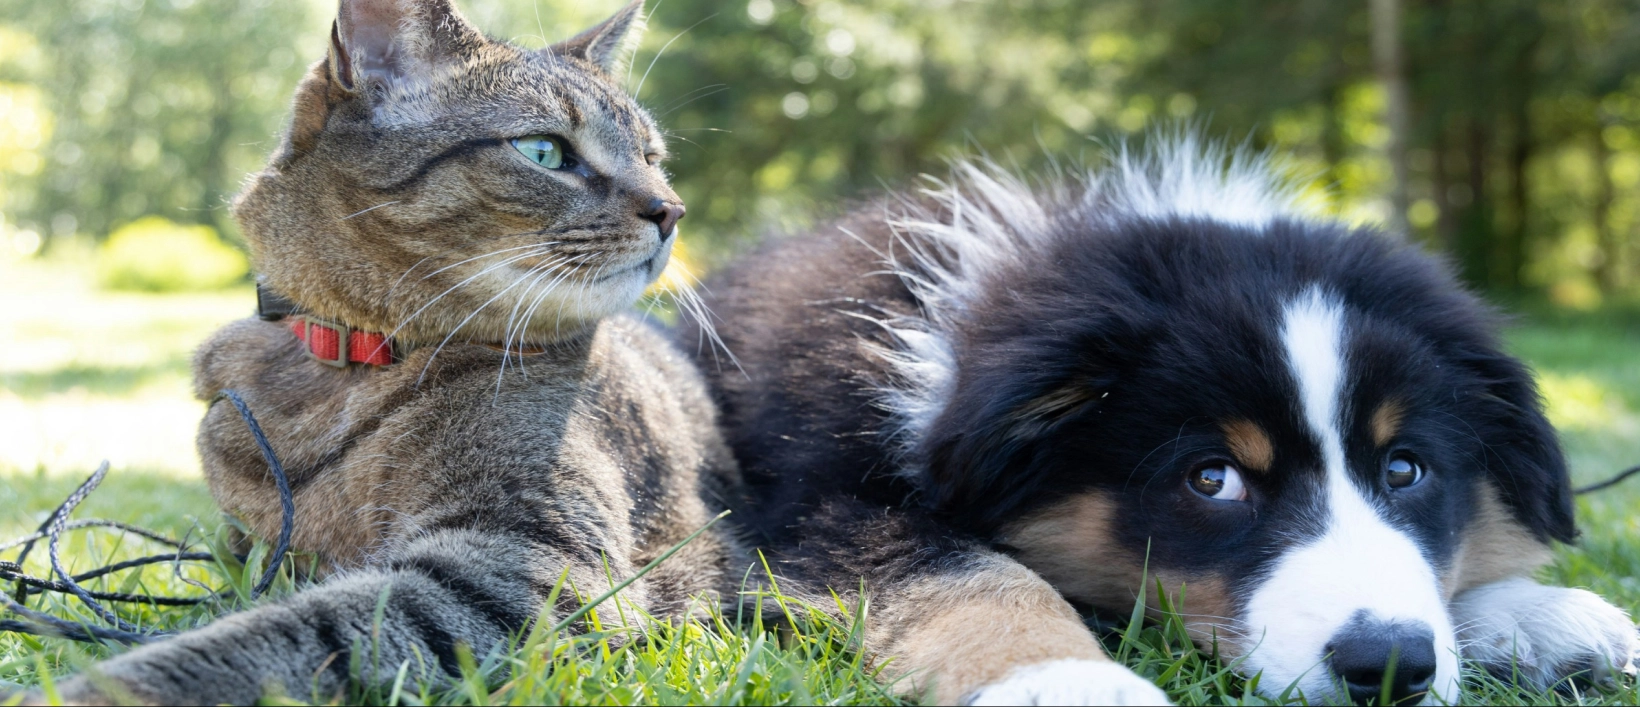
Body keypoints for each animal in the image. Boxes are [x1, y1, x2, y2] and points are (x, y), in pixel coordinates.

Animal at [19, 1, 747, 702]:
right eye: (544, 151)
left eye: (652, 156)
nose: (672, 209)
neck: (348, 365)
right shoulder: (243, 548)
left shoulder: (525, 565)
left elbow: (278, 637)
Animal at [692, 135, 1640, 705]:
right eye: (1211, 478)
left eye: (1405, 467)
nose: (1388, 665)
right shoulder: (820, 502)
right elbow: (973, 574)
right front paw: (1069, 680)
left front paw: (1536, 615)